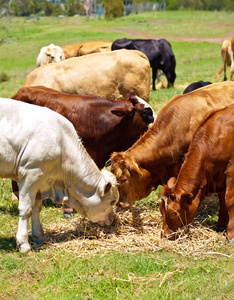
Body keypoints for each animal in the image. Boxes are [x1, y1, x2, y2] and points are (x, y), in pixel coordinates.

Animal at [0, 99, 119, 253]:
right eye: (112, 201)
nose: (112, 220)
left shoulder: (41, 181)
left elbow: (36, 208)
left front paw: (39, 236)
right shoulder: (30, 173)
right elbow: (26, 209)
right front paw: (24, 244)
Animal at [160, 103, 234, 244]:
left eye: (174, 213)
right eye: (161, 211)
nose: (165, 236)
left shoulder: (231, 171)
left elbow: (229, 201)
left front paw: (231, 235)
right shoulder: (219, 177)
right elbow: (222, 199)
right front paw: (221, 224)